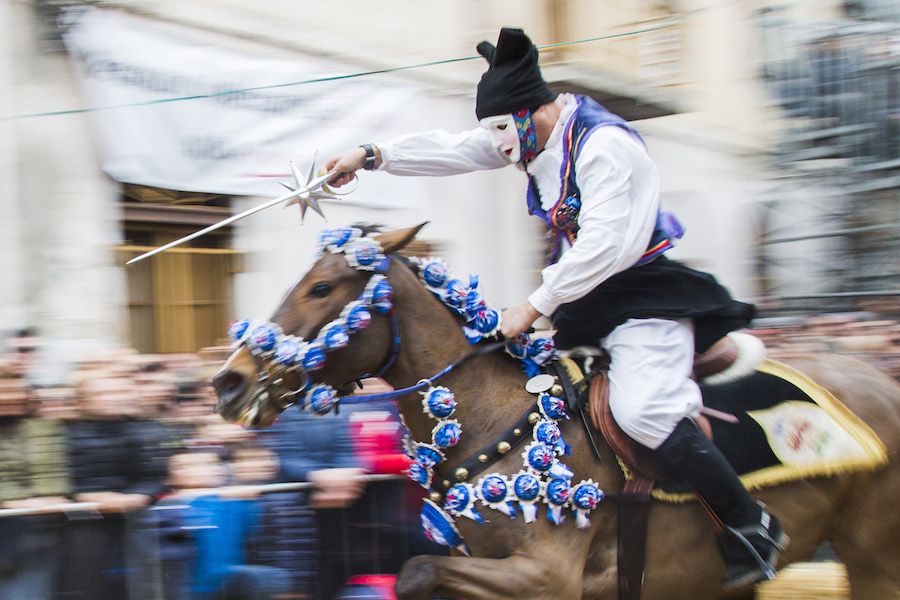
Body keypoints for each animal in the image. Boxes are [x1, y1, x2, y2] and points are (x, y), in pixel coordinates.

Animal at [213, 225, 900, 600]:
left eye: (322, 287)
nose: (228, 381)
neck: (494, 422)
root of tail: (878, 378)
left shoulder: (546, 576)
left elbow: (413, 571)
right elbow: (418, 573)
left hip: (873, 555)